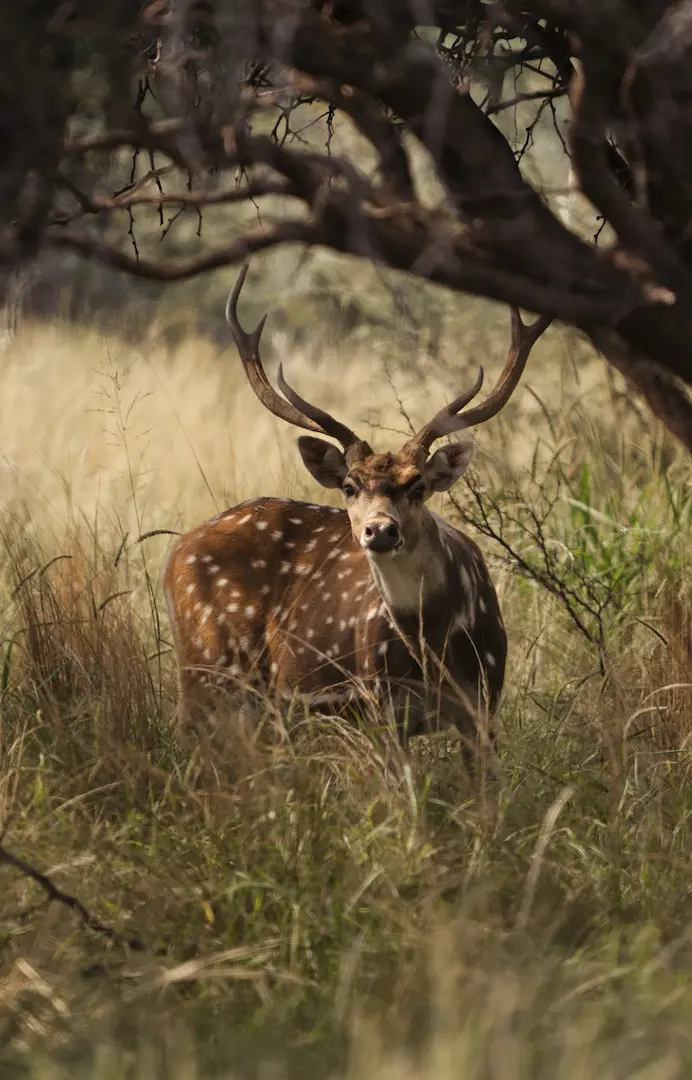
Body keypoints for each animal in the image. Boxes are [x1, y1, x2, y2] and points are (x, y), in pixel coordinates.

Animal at [163, 262, 550, 764]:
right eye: (349, 486)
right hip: (206, 661)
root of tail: (174, 554)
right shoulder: (378, 701)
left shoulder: (485, 701)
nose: (380, 531)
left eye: (418, 485)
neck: (436, 652)